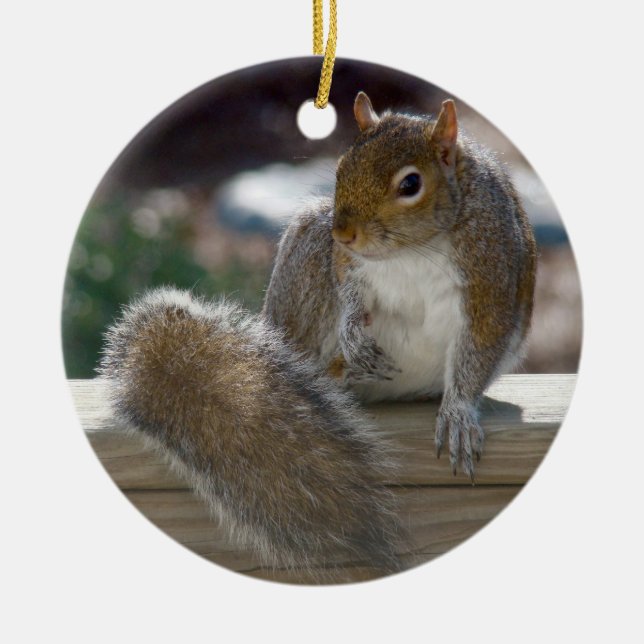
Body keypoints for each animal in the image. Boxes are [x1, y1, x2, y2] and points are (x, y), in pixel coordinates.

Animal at [100, 92, 536, 578]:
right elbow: (347, 286)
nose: (342, 231)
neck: (413, 249)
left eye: (411, 184)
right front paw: (353, 333)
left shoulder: (490, 274)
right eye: (342, 165)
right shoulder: (345, 261)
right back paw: (328, 374)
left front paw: (459, 414)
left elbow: (479, 346)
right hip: (307, 254)